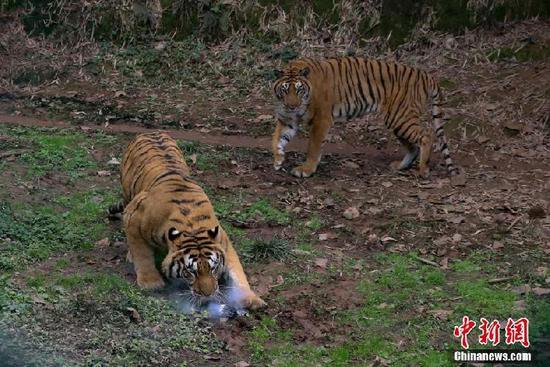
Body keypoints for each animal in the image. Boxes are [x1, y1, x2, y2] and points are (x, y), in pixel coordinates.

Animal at [110, 132, 268, 310]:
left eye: (213, 269)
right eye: (191, 272)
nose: (208, 294)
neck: (192, 227)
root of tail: (150, 132)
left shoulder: (223, 241)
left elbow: (237, 272)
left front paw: (251, 299)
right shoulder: (134, 217)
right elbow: (142, 254)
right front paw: (151, 283)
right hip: (128, 195)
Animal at [272, 55, 462, 180]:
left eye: (299, 89)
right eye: (285, 90)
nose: (292, 106)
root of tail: (425, 75)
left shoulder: (321, 120)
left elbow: (313, 146)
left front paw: (306, 169)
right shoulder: (287, 119)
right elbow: (276, 139)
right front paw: (278, 160)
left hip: (400, 117)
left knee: (426, 135)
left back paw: (423, 171)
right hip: (397, 120)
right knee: (413, 146)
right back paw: (400, 166)